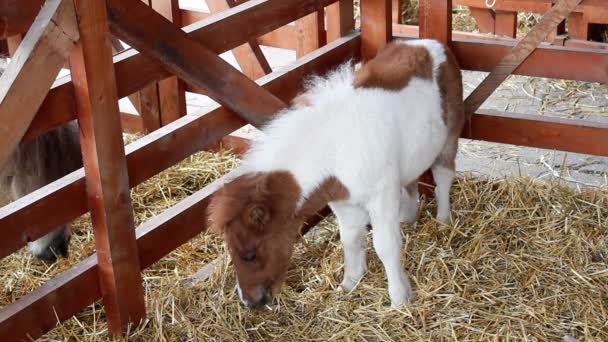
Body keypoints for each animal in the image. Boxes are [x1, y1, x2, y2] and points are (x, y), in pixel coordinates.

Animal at [209, 39, 466, 308]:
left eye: (249, 254)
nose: (250, 302)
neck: (336, 151)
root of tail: (430, 43)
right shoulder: (343, 203)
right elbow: (350, 239)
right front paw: (350, 283)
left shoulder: (380, 197)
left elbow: (386, 245)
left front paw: (399, 299)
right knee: (411, 182)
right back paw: (407, 218)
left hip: (449, 137)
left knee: (443, 176)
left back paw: (443, 221)